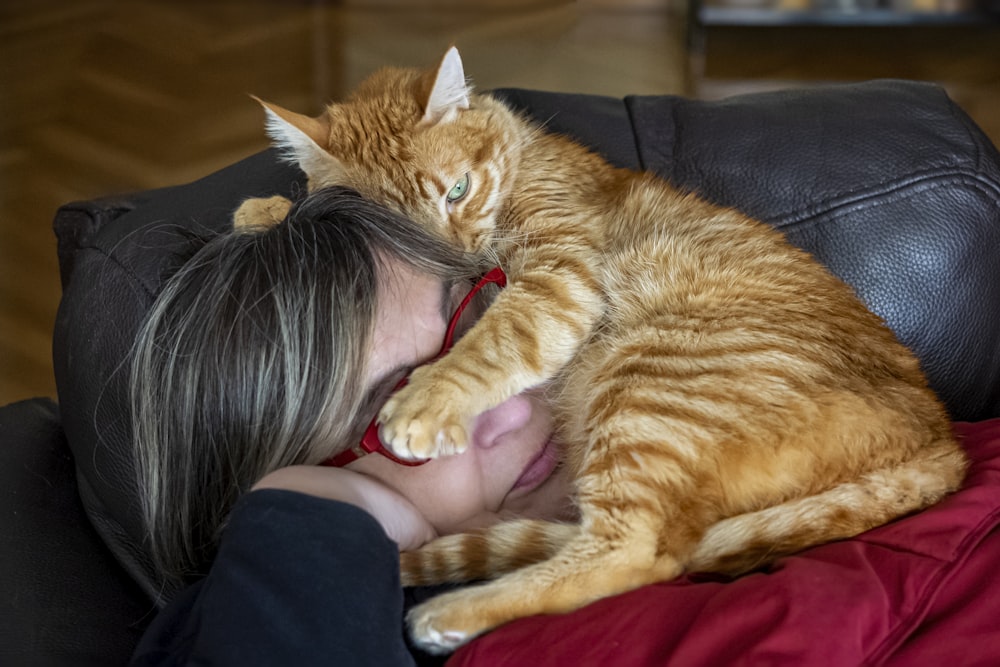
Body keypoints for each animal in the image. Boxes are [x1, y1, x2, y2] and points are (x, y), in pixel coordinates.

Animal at [238, 49, 964, 656]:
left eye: (456, 190)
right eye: (385, 224)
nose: (451, 256)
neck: (521, 159)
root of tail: (940, 436)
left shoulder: (559, 277)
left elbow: (491, 343)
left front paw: (426, 400)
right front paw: (265, 209)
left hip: (657, 389)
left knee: (636, 555)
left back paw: (453, 611)